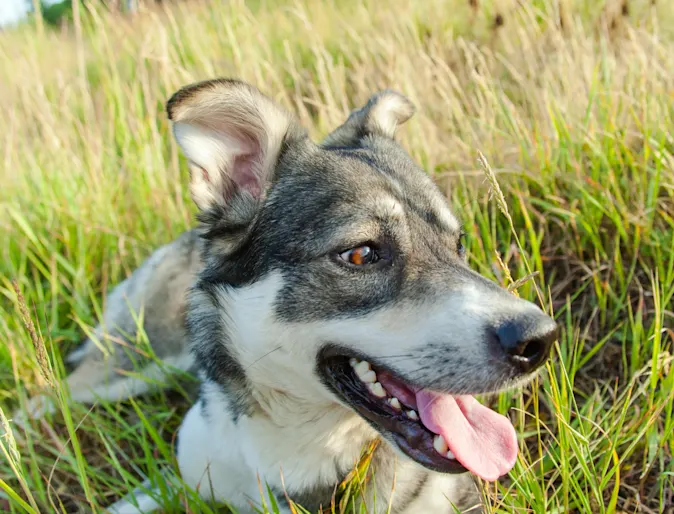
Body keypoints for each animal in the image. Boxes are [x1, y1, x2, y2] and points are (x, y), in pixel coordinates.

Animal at [14, 78, 556, 510]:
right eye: (361, 254)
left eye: (458, 244)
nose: (539, 340)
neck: (302, 450)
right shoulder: (183, 471)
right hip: (126, 366)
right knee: (43, 398)